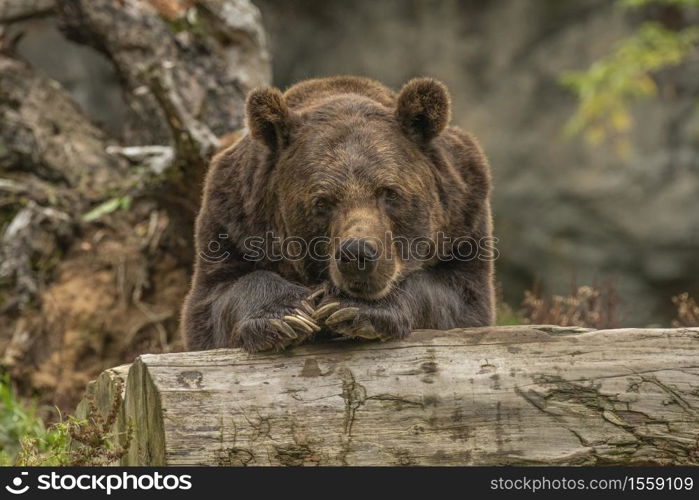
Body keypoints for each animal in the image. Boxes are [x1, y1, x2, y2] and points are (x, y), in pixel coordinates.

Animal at [183, 76, 494, 354]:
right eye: (322, 201)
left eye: (389, 192)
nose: (357, 254)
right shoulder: (232, 219)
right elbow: (215, 300)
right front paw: (287, 315)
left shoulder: (464, 218)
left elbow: (458, 297)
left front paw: (353, 308)